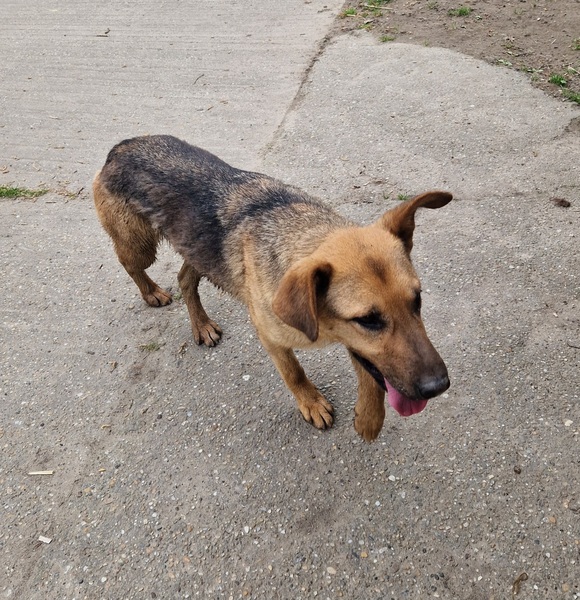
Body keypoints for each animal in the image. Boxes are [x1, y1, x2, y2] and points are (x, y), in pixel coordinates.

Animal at [93, 135, 451, 441]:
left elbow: (371, 375)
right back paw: (151, 292)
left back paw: (201, 324)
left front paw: (368, 418)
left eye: (417, 300)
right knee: (131, 264)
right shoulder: (273, 335)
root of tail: (121, 146)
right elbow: (294, 372)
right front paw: (312, 402)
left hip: (196, 250)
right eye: (368, 319)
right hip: (139, 245)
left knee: (185, 279)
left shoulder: (357, 343)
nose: (439, 386)